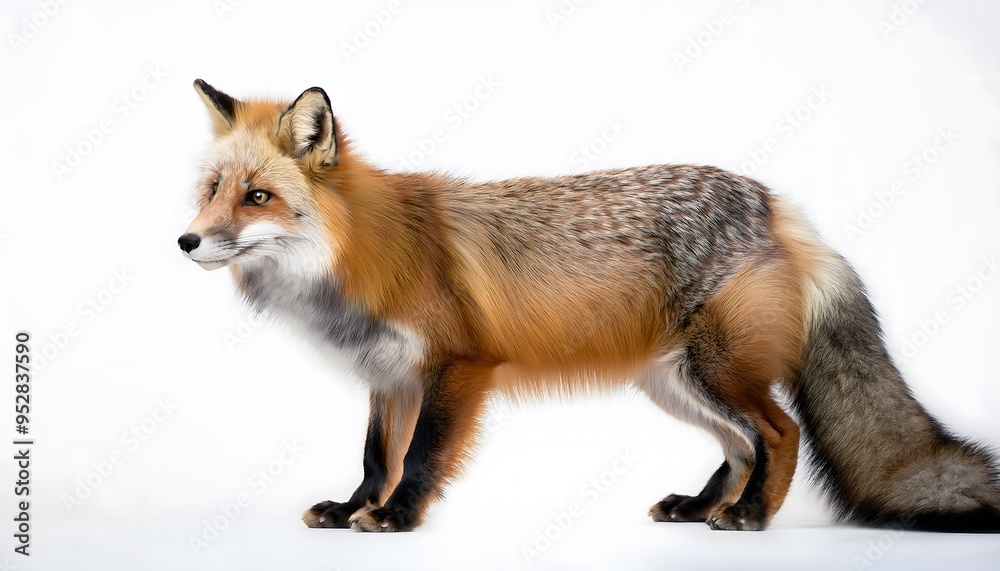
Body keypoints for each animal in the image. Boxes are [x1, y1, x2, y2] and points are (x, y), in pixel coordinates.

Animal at [178, 79, 1000, 533]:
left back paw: (751, 517)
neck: (357, 256)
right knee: (742, 447)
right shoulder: (390, 376)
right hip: (676, 383)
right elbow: (376, 456)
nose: (185, 240)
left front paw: (396, 519)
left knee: (780, 432)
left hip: (717, 373)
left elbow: (419, 459)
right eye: (213, 189)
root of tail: (776, 205)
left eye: (258, 197)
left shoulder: (457, 367)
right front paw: (352, 509)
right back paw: (701, 507)